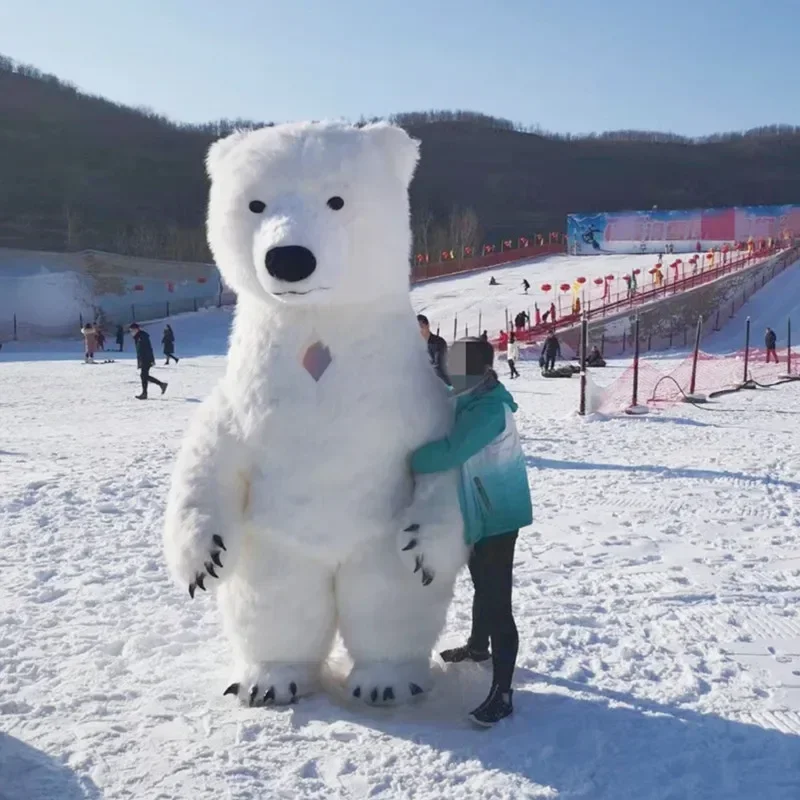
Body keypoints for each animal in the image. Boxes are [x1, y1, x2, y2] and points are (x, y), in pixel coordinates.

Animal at [163, 121, 468, 707]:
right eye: (256, 203)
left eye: (337, 200)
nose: (289, 257)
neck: (317, 337)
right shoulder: (240, 404)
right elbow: (206, 456)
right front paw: (203, 561)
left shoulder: (418, 403)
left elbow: (447, 460)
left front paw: (427, 548)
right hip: (272, 548)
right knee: (275, 606)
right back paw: (270, 679)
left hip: (374, 547)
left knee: (388, 605)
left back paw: (386, 680)